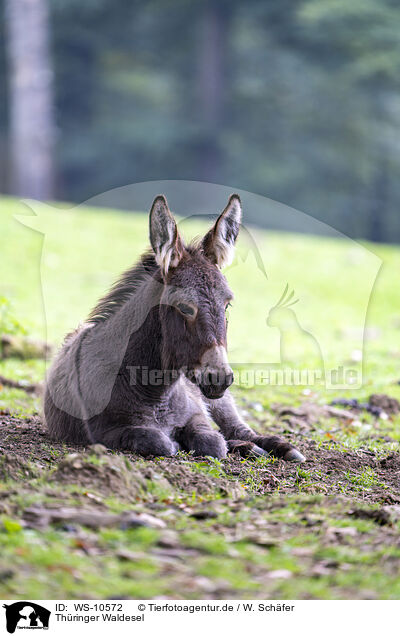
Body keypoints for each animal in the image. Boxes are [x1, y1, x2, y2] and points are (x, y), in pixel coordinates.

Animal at [43, 194, 304, 462]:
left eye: (227, 304)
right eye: (184, 308)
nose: (219, 377)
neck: (153, 392)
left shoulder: (198, 414)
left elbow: (212, 441)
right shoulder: (105, 431)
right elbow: (158, 441)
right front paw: (175, 442)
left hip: (219, 401)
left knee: (238, 428)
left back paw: (275, 447)